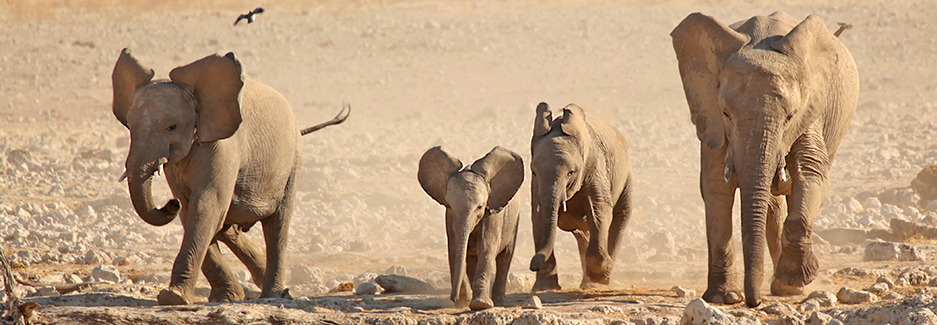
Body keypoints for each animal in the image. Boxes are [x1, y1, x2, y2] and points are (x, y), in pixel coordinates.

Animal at [111, 47, 350, 304]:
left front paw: (173, 297)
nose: (170, 204)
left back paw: (274, 294)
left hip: (293, 160)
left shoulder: (224, 147)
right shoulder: (176, 165)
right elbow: (193, 213)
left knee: (277, 226)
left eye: (172, 127)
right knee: (228, 221)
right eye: (130, 125)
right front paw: (227, 296)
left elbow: (206, 207)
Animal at [418, 146, 528, 310]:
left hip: (513, 221)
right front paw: (464, 302)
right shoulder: (450, 218)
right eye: (450, 206)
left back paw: (500, 302)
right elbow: (454, 250)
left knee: (505, 257)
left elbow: (487, 248)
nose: (453, 298)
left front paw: (480, 304)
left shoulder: (492, 213)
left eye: (480, 207)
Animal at [532, 102, 632, 290]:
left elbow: (599, 211)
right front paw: (545, 288)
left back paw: (601, 279)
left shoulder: (595, 168)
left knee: (620, 217)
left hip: (626, 179)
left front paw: (602, 276)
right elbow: (539, 218)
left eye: (571, 173)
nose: (533, 265)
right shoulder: (535, 185)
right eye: (534, 172)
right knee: (583, 234)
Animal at [668, 12, 860, 306]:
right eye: (726, 113)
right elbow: (715, 186)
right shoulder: (710, 115)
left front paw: (794, 279)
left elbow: (811, 173)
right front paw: (723, 297)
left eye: (790, 116)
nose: (754, 301)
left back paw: (787, 287)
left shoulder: (810, 108)